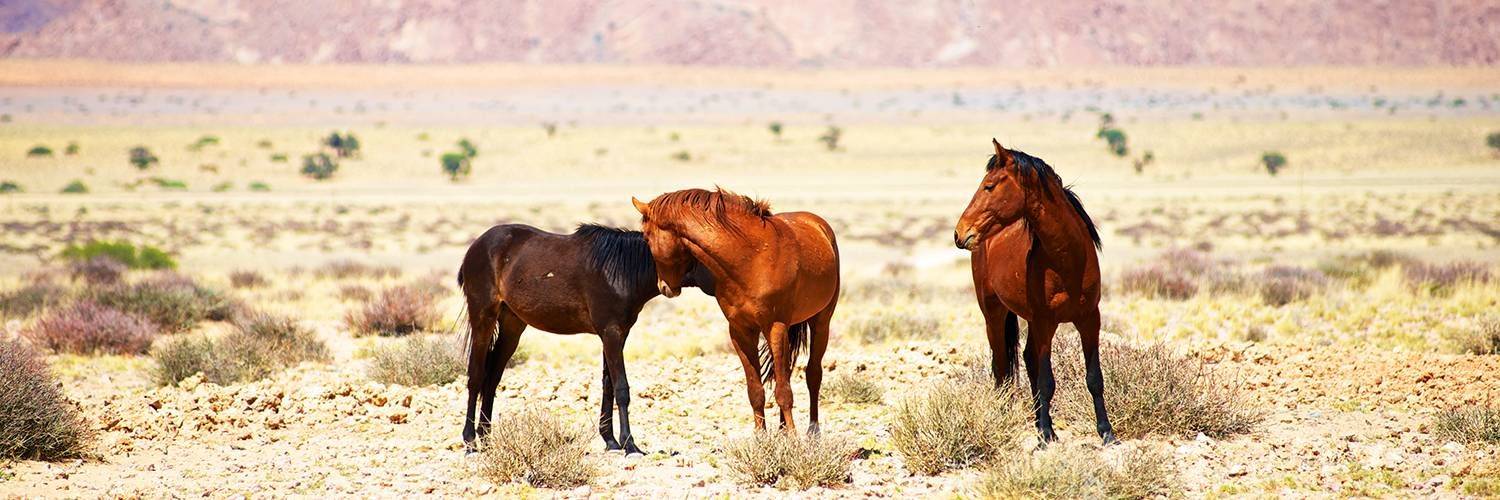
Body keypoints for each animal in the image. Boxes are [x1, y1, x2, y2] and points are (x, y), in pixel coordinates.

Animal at [456, 223, 715, 455]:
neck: (621, 271)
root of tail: (477, 245)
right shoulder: (611, 333)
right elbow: (621, 388)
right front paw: (630, 445)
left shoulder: (617, 335)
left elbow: (608, 385)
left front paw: (611, 441)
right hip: (483, 319)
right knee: (476, 377)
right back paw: (470, 442)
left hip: (512, 326)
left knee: (492, 379)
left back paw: (486, 439)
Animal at [631, 188, 840, 433]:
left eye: (646, 237)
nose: (664, 287)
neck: (751, 258)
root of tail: (818, 225)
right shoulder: (741, 331)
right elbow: (756, 390)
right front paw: (761, 437)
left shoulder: (775, 327)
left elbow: (784, 392)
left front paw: (793, 438)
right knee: (785, 372)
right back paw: (781, 428)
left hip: (821, 322)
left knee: (813, 374)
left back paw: (812, 430)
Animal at [953, 139, 1116, 445]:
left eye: (989, 186)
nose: (959, 233)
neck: (1067, 259)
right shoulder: (1045, 321)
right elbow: (1046, 379)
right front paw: (1045, 436)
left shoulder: (1089, 319)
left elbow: (1094, 377)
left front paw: (1107, 432)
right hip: (994, 314)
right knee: (1001, 366)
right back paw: (1011, 418)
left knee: (1026, 360)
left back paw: (1039, 421)